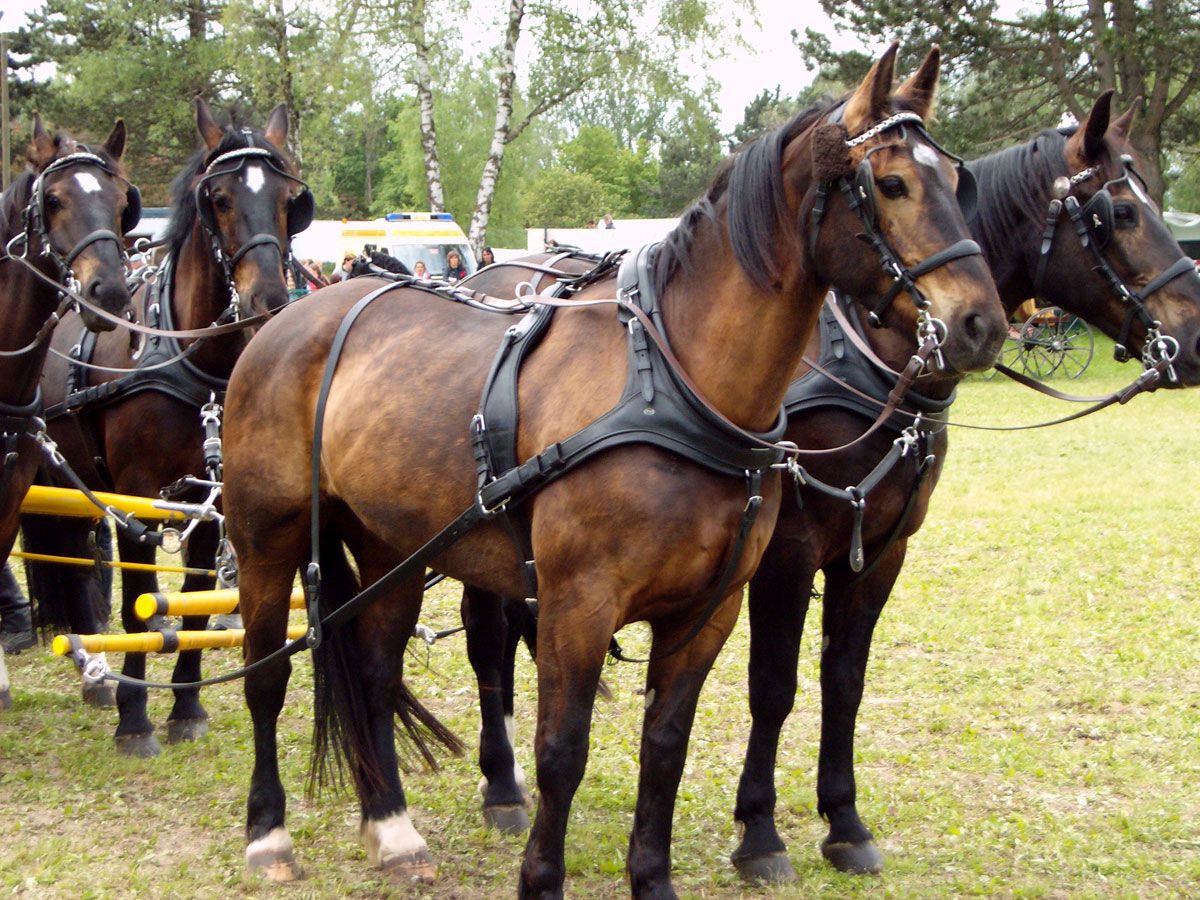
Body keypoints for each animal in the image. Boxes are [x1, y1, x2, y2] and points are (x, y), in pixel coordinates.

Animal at [20, 100, 309, 763]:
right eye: (219, 198)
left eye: (290, 200)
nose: (269, 300)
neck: (194, 360)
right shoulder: (138, 495)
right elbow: (137, 609)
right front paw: (136, 720)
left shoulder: (213, 499)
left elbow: (198, 609)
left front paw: (187, 707)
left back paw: (93, 672)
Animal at [223, 45, 1003, 897]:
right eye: (891, 183)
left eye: (957, 181)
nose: (983, 323)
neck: (675, 386)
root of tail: (287, 318)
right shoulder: (579, 605)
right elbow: (562, 752)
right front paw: (541, 877)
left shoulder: (709, 611)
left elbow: (666, 747)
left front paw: (653, 877)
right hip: (266, 541)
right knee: (265, 678)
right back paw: (268, 834)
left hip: (390, 547)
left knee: (371, 669)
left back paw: (392, 829)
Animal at [724, 90, 1200, 883]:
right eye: (1122, 214)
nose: (1194, 338)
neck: (871, 358)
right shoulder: (788, 550)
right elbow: (774, 685)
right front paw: (760, 832)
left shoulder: (882, 551)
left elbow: (844, 681)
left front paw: (844, 821)